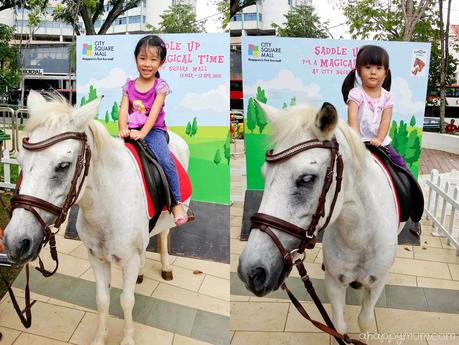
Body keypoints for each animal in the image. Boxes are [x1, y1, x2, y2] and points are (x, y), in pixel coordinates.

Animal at [1, 91, 189, 344]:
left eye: (63, 165)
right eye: (20, 162)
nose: (15, 242)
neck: (106, 207)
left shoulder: (128, 260)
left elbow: (126, 301)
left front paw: (128, 339)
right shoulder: (96, 258)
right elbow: (102, 300)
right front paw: (101, 337)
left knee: (164, 234)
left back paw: (166, 267)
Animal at [237, 101, 402, 336]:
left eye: (307, 178)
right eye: (264, 174)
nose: (250, 272)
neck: (360, 236)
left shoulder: (376, 283)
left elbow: (365, 321)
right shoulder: (335, 282)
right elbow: (339, 327)